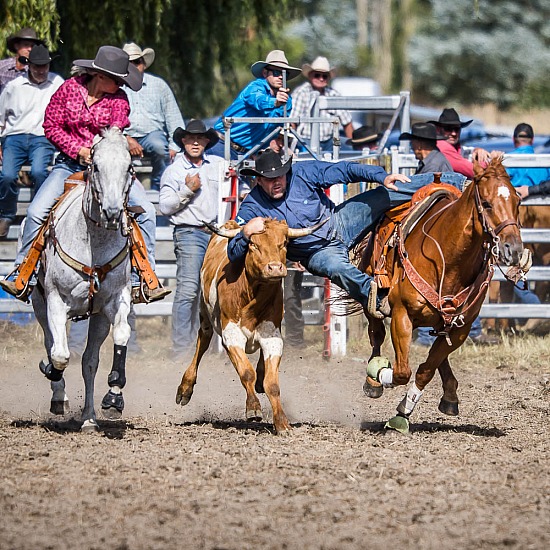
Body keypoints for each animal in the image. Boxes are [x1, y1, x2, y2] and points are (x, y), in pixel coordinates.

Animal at [33, 128, 135, 432]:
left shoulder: (116, 300)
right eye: (96, 166)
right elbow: (59, 354)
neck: (94, 242)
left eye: (129, 167)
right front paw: (53, 375)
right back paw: (59, 396)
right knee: (52, 345)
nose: (113, 212)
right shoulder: (55, 301)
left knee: (89, 362)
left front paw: (114, 395)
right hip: (39, 304)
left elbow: (121, 335)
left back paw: (89, 418)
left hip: (98, 317)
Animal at [362, 156, 532, 436]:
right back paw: (373, 382)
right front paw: (380, 374)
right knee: (376, 335)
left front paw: (402, 414)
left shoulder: (462, 328)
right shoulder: (401, 315)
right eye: (487, 203)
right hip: (371, 296)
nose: (514, 249)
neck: (449, 261)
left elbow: (425, 370)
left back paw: (450, 395)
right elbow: (402, 371)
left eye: (517, 202)